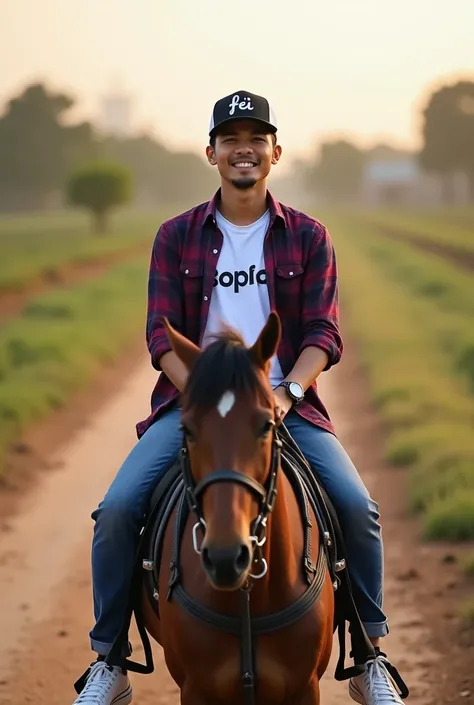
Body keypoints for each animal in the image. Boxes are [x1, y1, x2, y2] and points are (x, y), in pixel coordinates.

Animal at [142, 310, 336, 700]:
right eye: (187, 429)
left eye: (266, 424)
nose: (224, 556)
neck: (248, 595)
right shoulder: (196, 690)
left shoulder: (305, 688)